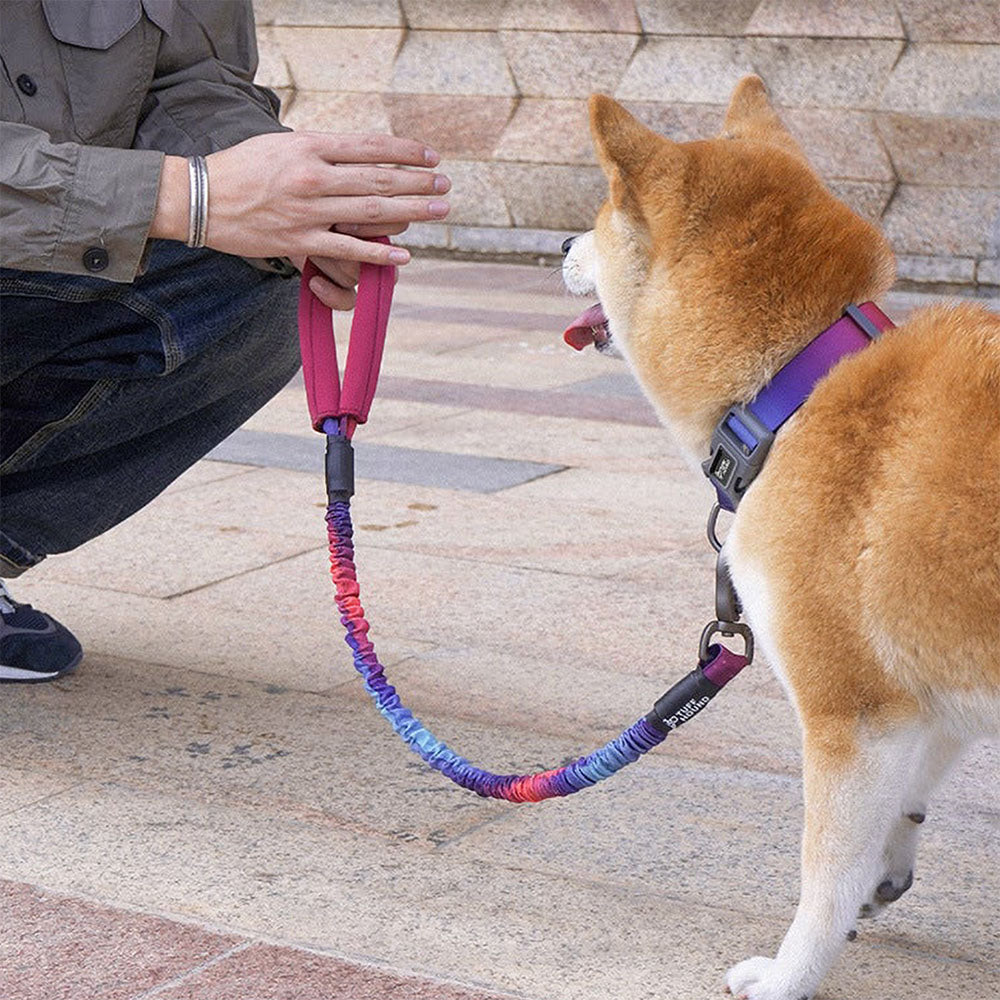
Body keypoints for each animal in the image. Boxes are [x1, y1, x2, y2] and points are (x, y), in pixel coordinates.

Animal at [564, 78, 1000, 1000]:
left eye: (603, 215)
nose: (560, 243)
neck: (799, 388)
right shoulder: (928, 694)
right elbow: (903, 803)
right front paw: (887, 869)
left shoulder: (849, 712)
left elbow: (822, 874)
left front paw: (791, 974)